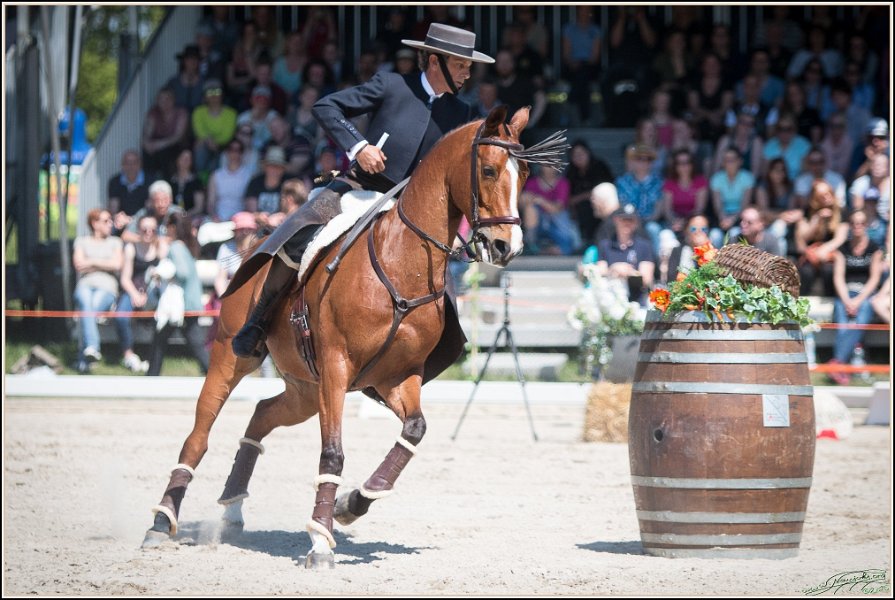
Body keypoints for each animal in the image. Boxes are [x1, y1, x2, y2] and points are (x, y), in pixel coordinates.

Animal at [141, 106, 563, 568]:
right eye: (488, 170)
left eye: (525, 173)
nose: (508, 247)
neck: (402, 263)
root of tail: (256, 246)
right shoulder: (336, 367)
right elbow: (333, 452)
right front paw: (320, 540)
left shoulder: (397, 377)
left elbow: (414, 430)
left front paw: (353, 503)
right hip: (234, 359)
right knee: (198, 435)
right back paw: (161, 521)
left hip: (306, 389)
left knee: (262, 413)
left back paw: (233, 506)